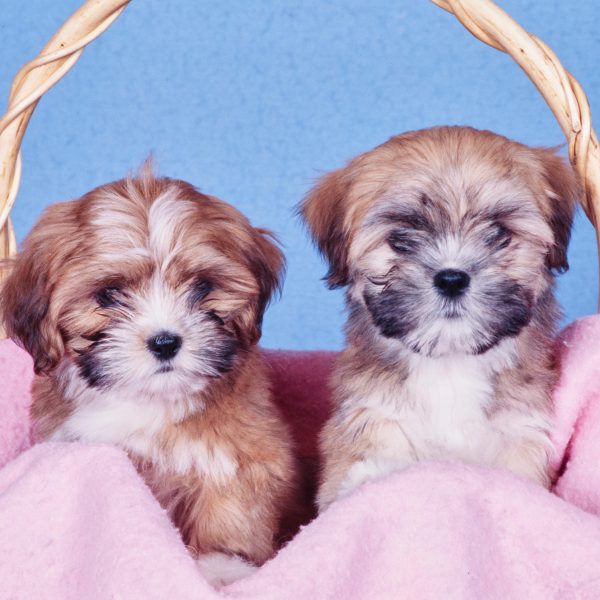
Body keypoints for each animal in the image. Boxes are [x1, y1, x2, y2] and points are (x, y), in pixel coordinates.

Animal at [1, 164, 298, 584]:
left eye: (203, 286)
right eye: (108, 295)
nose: (165, 342)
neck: (146, 398)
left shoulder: (242, 452)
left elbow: (231, 503)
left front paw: (222, 566)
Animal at [302, 126, 580, 510]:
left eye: (499, 233)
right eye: (400, 239)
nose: (451, 278)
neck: (450, 365)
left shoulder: (521, 435)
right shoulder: (371, 418)